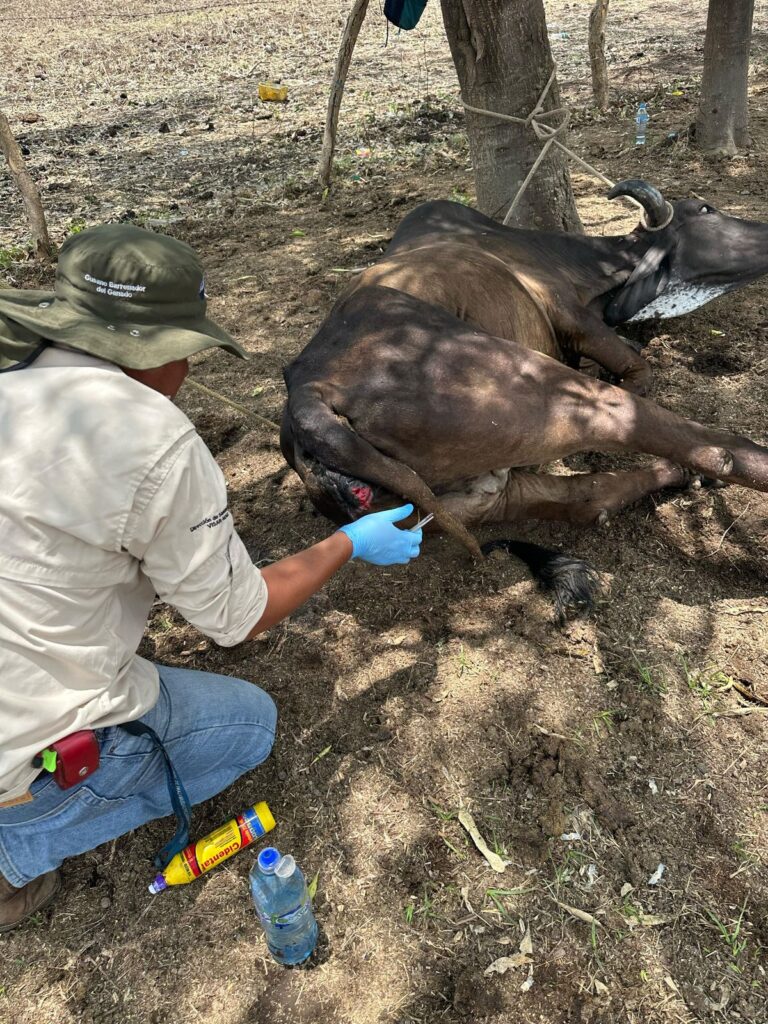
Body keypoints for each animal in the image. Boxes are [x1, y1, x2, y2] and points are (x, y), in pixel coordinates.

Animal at [280, 180, 768, 619]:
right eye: (705, 209)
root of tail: (307, 392)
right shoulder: (572, 317)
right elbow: (637, 370)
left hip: (487, 494)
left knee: (589, 498)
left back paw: (680, 476)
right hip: (552, 390)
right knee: (706, 447)